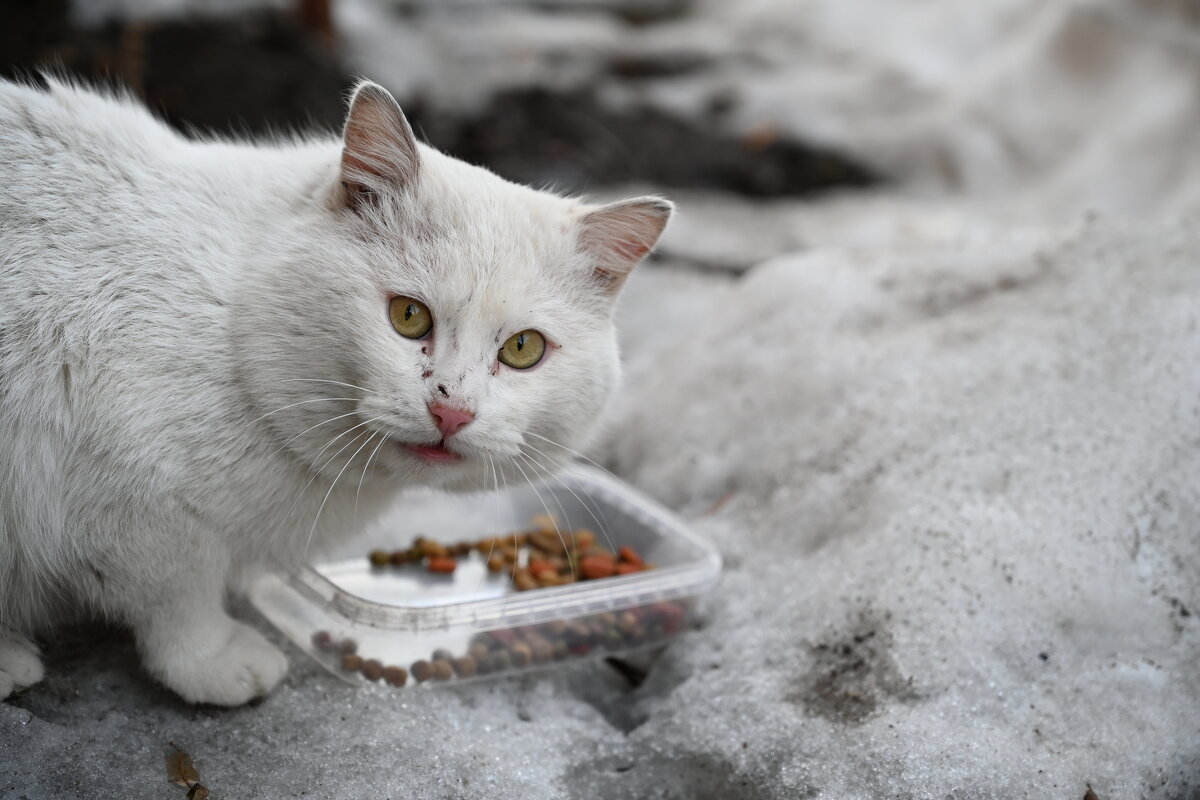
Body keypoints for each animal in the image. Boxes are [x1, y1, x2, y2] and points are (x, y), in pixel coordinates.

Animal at [0, 73, 672, 700]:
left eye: (523, 349)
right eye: (408, 316)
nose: (451, 412)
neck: (229, 313)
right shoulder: (133, 502)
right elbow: (176, 597)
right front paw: (214, 662)